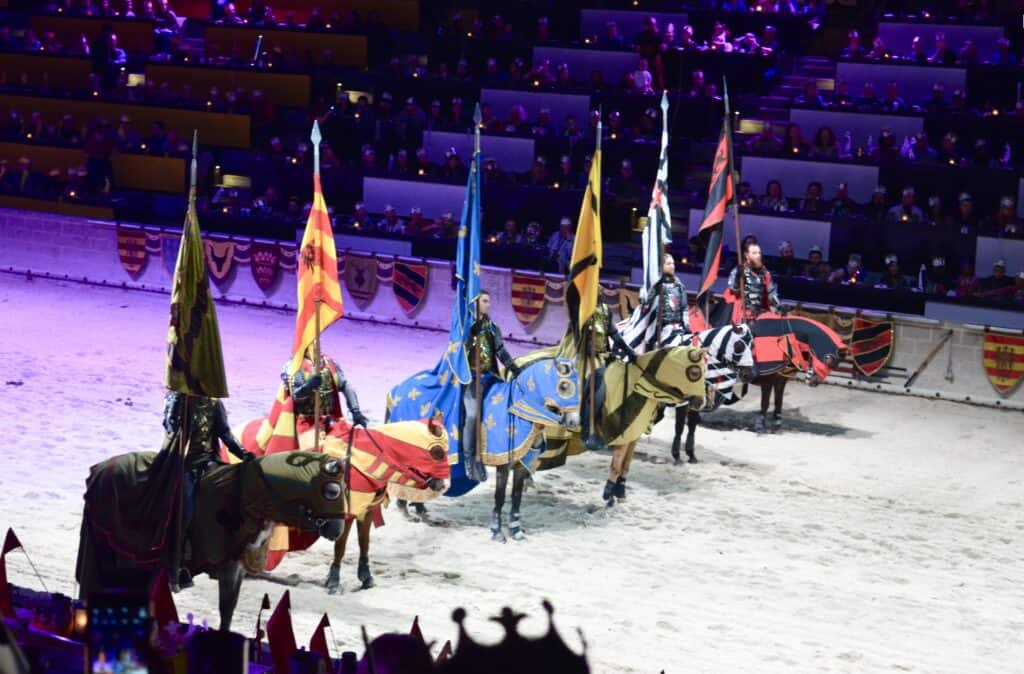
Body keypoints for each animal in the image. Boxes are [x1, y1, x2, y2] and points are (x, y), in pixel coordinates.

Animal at [75, 446, 352, 630]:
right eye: (331, 491)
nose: (337, 529)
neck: (245, 497)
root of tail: (97, 471)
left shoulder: (236, 567)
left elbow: (228, 610)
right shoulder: (227, 565)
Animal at [228, 413, 452, 594]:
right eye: (437, 452)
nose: (443, 485)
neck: (363, 461)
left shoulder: (366, 510)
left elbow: (364, 543)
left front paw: (366, 577)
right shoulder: (345, 513)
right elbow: (341, 547)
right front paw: (333, 582)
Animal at [385, 354, 581, 536]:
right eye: (564, 386)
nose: (574, 422)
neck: (518, 415)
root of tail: (396, 391)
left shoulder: (521, 465)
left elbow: (516, 496)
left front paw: (516, 531)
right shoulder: (503, 464)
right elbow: (500, 496)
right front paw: (497, 532)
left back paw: (421, 511)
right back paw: (406, 510)